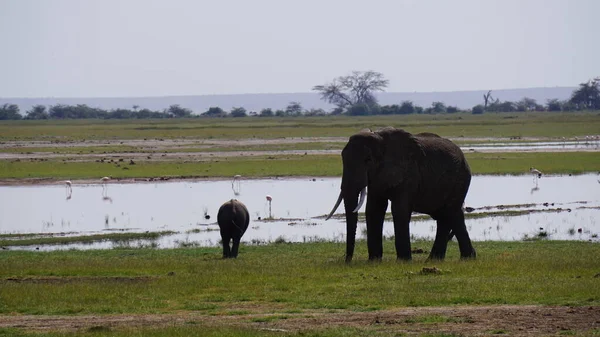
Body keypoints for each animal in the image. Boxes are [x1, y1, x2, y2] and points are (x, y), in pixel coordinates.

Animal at [326, 127, 476, 262]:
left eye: (368, 160)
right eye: (343, 158)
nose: (347, 260)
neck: (380, 138)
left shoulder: (409, 173)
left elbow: (399, 210)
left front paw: (403, 260)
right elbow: (374, 210)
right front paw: (374, 260)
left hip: (460, 179)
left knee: (449, 213)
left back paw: (454, 259)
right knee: (450, 216)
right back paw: (447, 259)